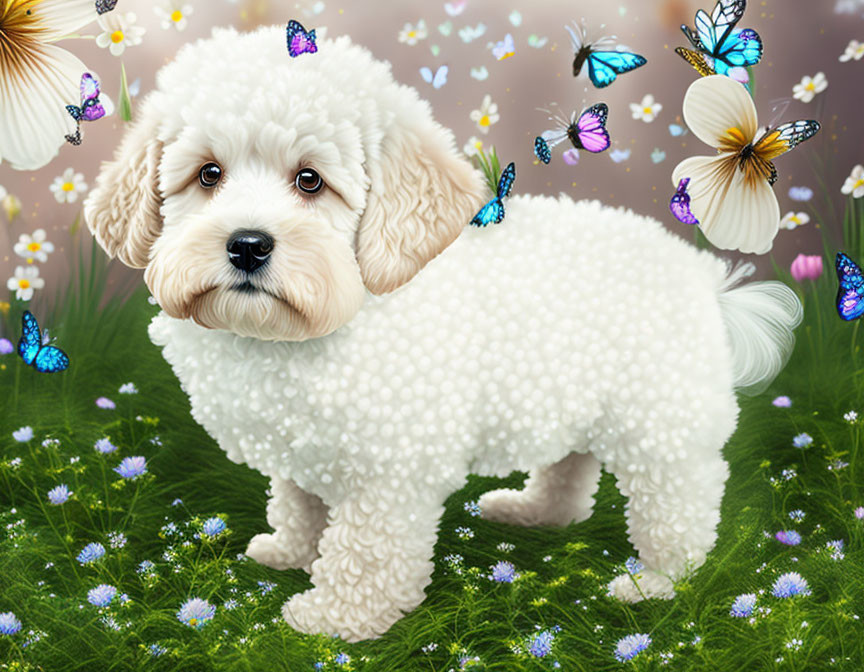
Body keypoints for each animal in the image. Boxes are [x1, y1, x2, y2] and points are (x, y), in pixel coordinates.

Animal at [84, 25, 800, 640]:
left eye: (310, 181)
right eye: (208, 175)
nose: (247, 245)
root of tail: (704, 279)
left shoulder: (389, 469)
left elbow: (366, 547)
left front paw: (338, 616)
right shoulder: (304, 445)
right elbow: (298, 500)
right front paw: (290, 550)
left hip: (662, 426)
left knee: (679, 503)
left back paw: (658, 581)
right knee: (571, 469)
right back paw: (534, 512)